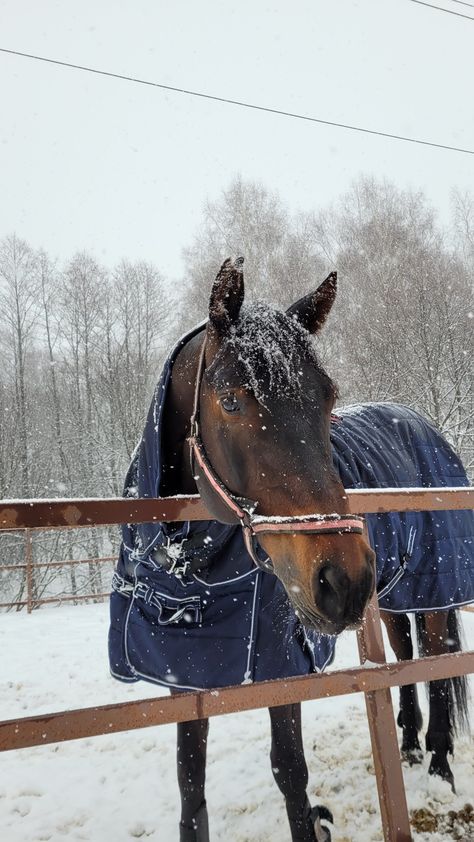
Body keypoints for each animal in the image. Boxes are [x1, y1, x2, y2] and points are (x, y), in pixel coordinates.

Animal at [108, 256, 474, 840]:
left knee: (438, 664)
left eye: (328, 398)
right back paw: (410, 749)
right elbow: (190, 777)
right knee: (405, 658)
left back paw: (439, 769)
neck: (190, 570)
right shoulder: (182, 674)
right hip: (391, 596)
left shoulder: (284, 666)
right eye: (230, 400)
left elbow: (289, 768)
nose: (343, 580)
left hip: (431, 592)